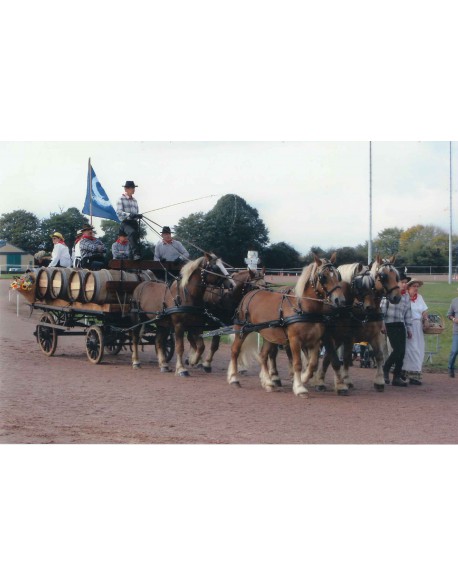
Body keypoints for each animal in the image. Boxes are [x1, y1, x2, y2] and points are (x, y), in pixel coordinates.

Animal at [227, 255, 346, 398]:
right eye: (323, 276)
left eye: (338, 275)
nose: (340, 300)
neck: (304, 308)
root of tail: (250, 294)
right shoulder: (295, 340)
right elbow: (297, 363)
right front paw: (299, 387)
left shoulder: (315, 341)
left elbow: (312, 364)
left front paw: (303, 378)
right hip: (241, 330)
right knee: (235, 350)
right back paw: (234, 379)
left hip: (269, 335)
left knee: (263, 355)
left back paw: (268, 383)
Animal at [314, 256, 400, 390]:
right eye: (383, 276)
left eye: (396, 276)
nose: (397, 297)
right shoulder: (347, 338)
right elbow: (344, 357)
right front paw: (345, 381)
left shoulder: (375, 335)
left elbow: (379, 356)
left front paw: (379, 381)